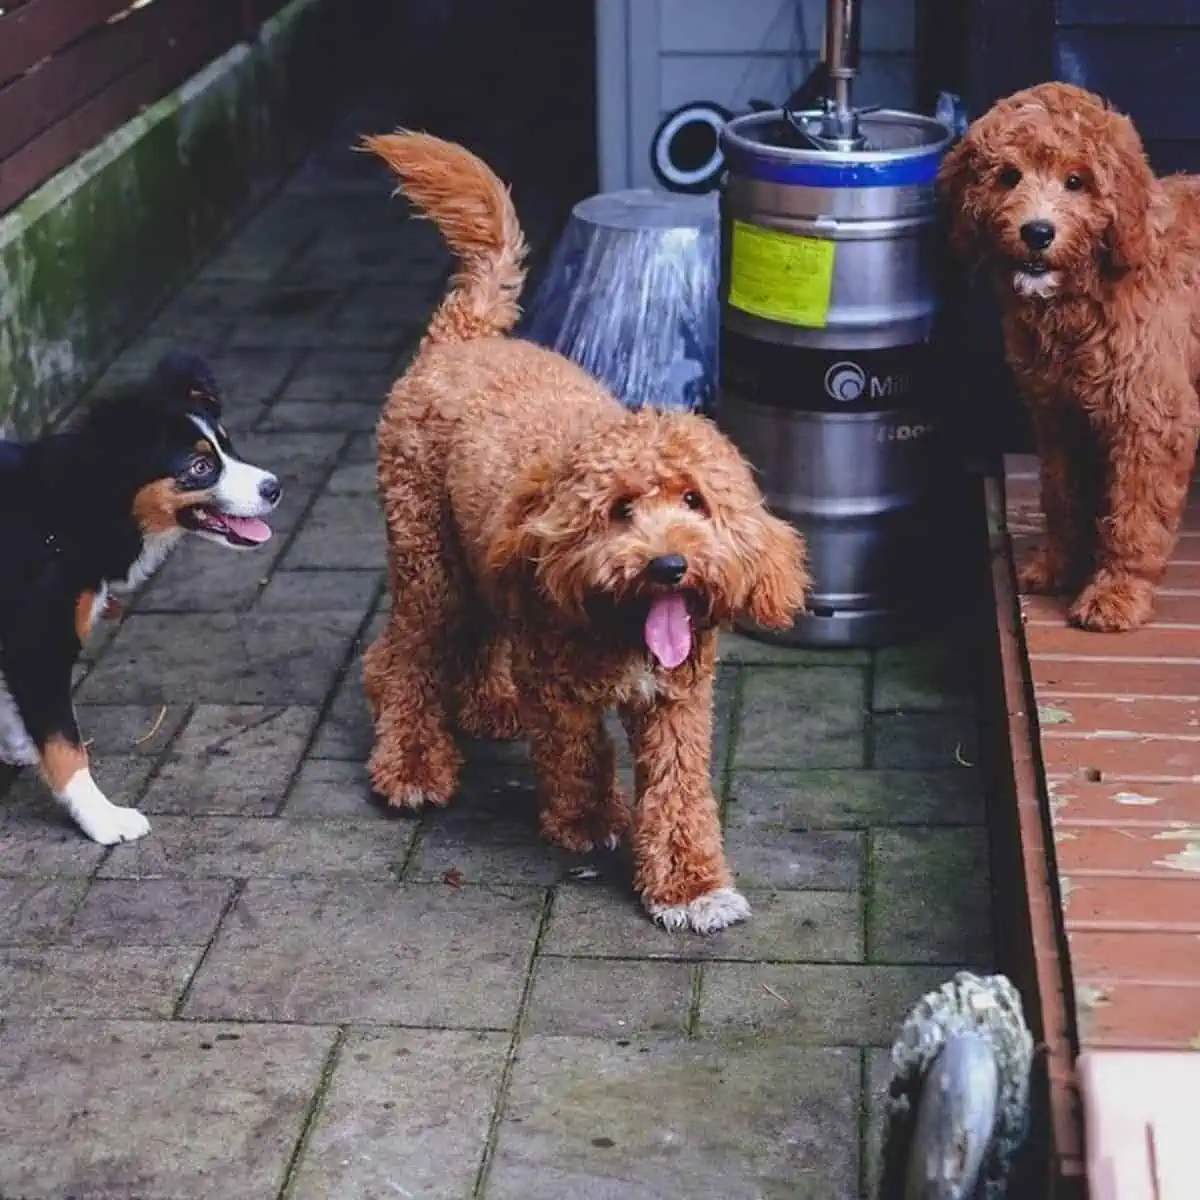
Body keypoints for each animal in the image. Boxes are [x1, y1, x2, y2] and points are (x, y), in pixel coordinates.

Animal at [355, 133, 806, 936]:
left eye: (695, 500)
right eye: (620, 508)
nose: (669, 565)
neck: (624, 619)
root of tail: (463, 338)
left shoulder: (678, 701)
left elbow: (680, 794)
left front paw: (690, 886)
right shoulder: (558, 681)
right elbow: (577, 752)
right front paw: (588, 821)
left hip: (475, 561)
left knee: (457, 639)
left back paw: (485, 705)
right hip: (427, 554)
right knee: (405, 657)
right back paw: (411, 764)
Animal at [936, 81, 1200, 633]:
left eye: (1076, 181)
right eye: (1008, 176)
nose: (1037, 233)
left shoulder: (1152, 417)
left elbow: (1135, 514)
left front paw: (1118, 592)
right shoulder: (1058, 412)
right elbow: (1061, 494)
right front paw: (1058, 566)